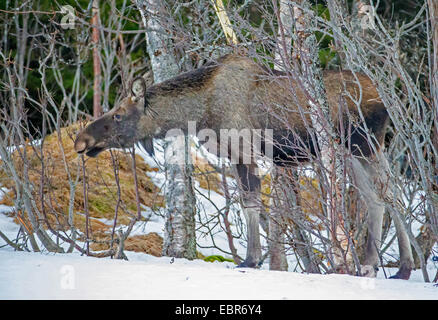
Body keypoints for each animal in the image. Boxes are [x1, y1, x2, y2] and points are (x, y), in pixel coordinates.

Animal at [74, 53, 414, 278]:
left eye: (118, 115)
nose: (81, 139)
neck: (199, 113)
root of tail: (386, 98)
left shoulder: (243, 151)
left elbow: (250, 203)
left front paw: (251, 260)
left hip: (365, 144)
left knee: (392, 194)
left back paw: (403, 268)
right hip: (352, 152)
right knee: (376, 198)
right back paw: (371, 264)